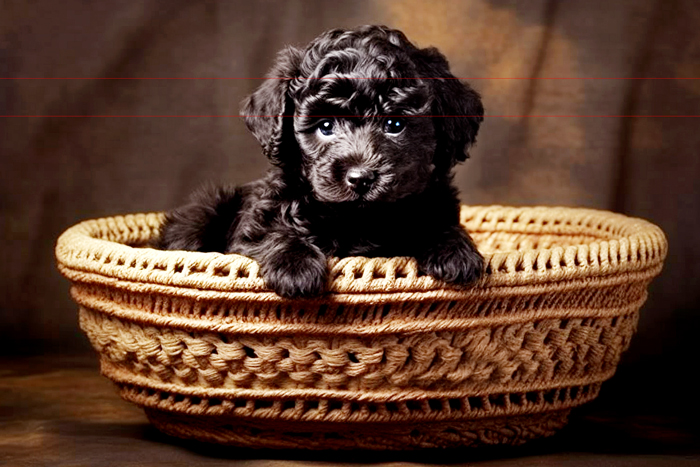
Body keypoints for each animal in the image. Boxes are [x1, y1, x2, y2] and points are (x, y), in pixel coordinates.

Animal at [160, 25, 486, 298]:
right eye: (326, 126)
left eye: (394, 125)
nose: (360, 178)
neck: (359, 217)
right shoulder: (253, 226)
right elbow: (270, 232)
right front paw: (295, 267)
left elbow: (439, 221)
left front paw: (455, 251)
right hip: (205, 210)